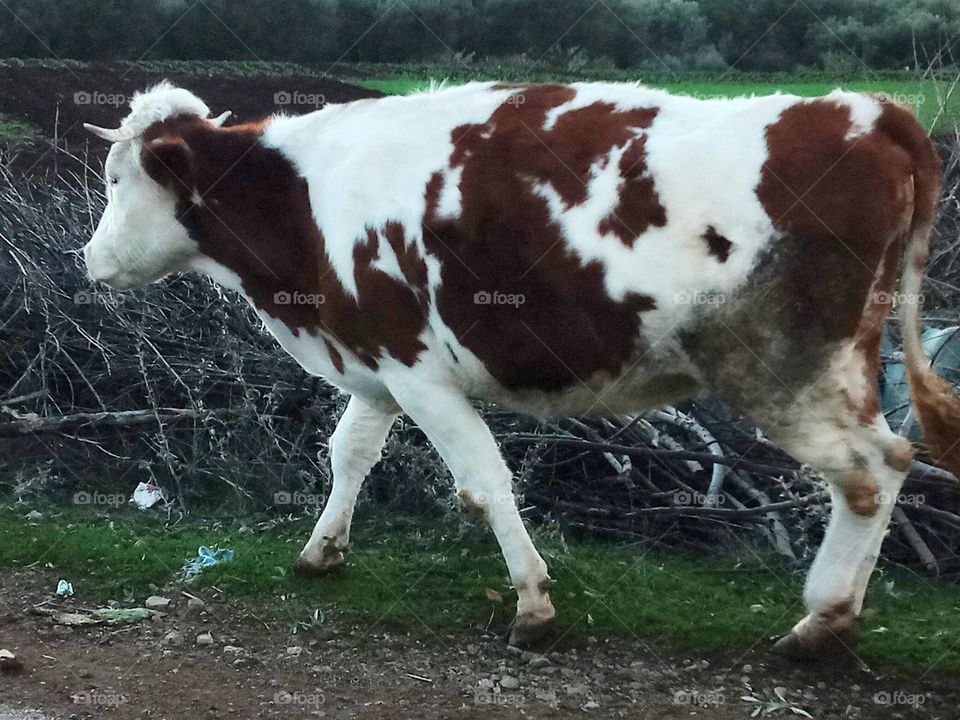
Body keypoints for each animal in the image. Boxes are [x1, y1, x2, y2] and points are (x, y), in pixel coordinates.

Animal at [81, 80, 960, 658]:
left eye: (119, 180)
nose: (89, 259)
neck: (302, 199)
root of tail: (868, 110)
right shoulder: (381, 358)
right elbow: (349, 453)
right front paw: (321, 551)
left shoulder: (419, 372)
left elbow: (482, 481)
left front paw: (534, 605)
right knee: (889, 463)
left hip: (786, 369)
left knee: (871, 470)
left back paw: (821, 621)